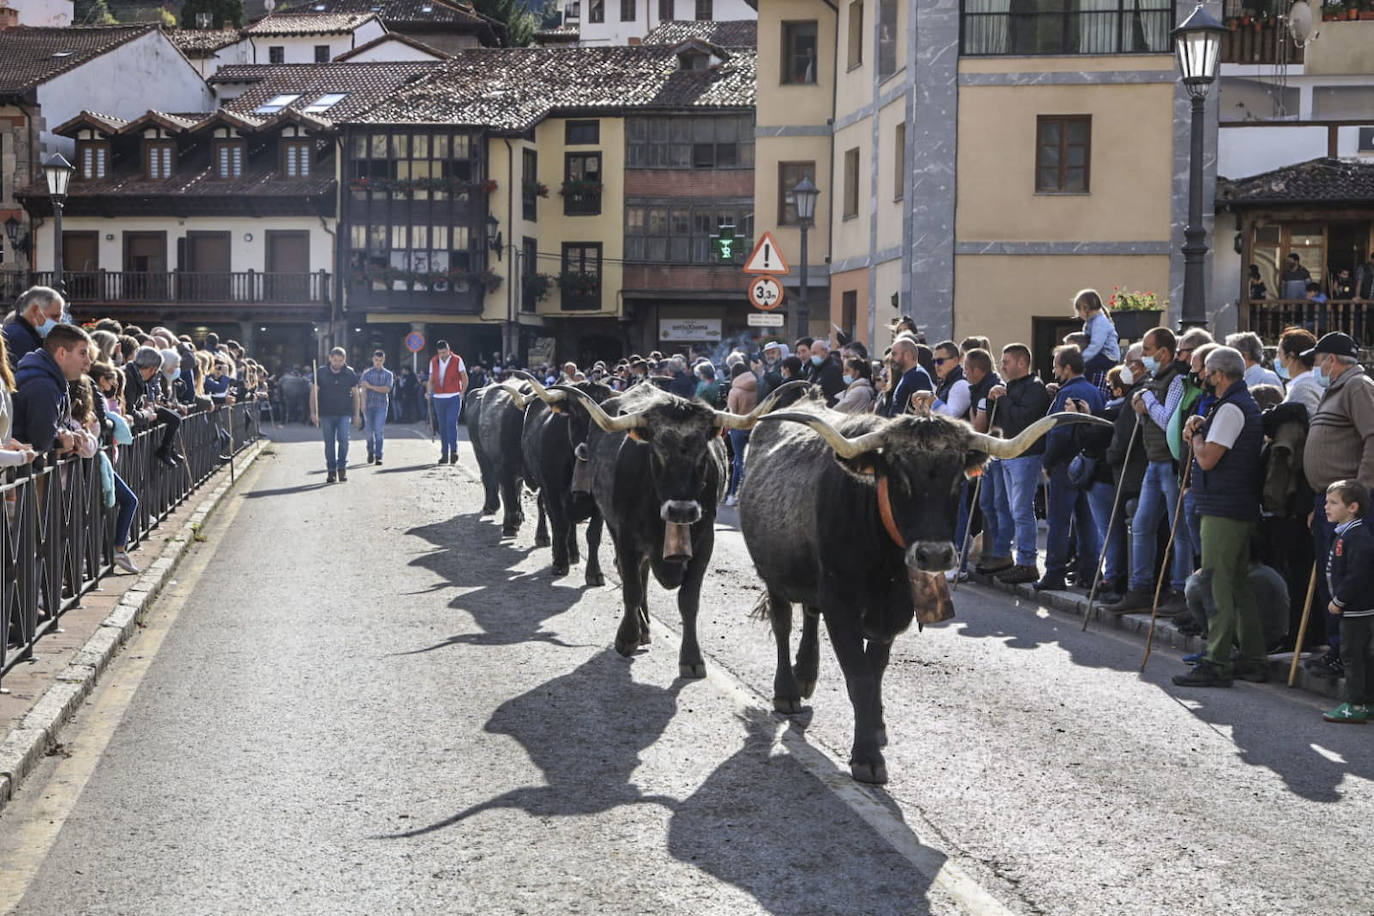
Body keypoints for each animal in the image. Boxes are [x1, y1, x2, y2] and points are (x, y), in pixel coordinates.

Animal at [555, 381, 802, 681]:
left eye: (703, 456)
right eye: (656, 454)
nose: (681, 511)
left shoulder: (705, 542)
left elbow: (688, 601)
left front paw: (692, 659)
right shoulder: (625, 537)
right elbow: (631, 588)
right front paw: (627, 638)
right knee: (633, 577)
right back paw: (640, 628)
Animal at [741, 403, 1104, 785]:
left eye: (958, 479)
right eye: (900, 477)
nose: (935, 555)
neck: (886, 561)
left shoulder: (892, 613)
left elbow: (875, 670)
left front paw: (876, 728)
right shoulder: (841, 605)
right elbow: (860, 677)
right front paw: (867, 757)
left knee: (809, 614)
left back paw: (806, 676)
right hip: (773, 575)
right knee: (783, 623)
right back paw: (787, 692)